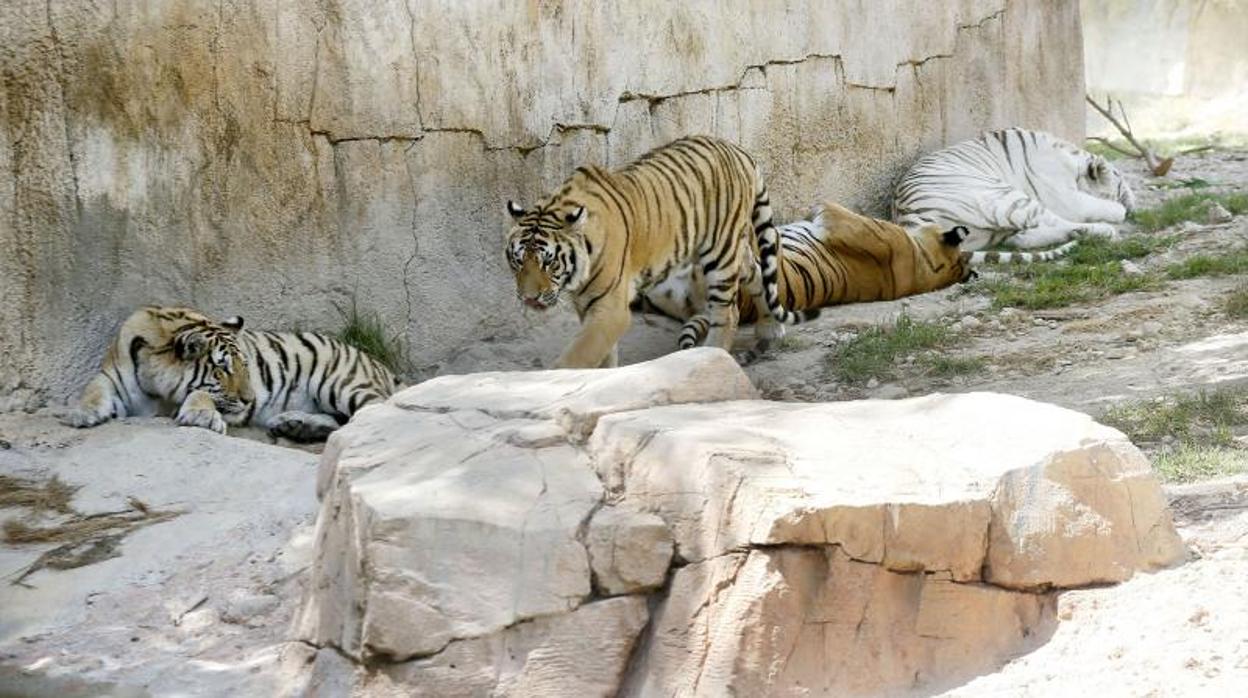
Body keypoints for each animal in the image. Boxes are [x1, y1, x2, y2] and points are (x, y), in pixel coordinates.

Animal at [62, 305, 399, 442]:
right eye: (222, 368)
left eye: (245, 365)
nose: (250, 399)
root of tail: (380, 365)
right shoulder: (113, 376)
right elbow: (94, 388)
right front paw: (82, 413)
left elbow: (201, 393)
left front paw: (200, 416)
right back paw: (294, 425)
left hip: (341, 383)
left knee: (371, 414)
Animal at [501, 132, 813, 369]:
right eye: (518, 262)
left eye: (549, 263)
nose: (529, 299)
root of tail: (737, 149)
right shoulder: (588, 306)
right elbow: (603, 354)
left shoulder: (610, 307)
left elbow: (578, 356)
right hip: (727, 249)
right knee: (758, 271)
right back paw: (770, 327)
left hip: (720, 253)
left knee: (728, 313)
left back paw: (709, 354)